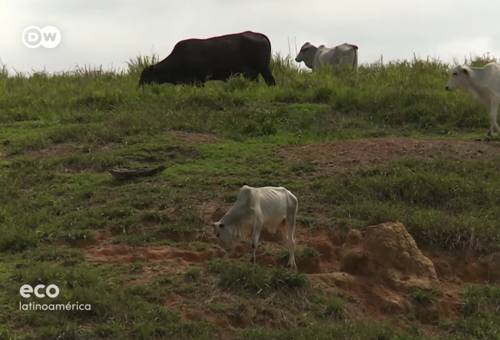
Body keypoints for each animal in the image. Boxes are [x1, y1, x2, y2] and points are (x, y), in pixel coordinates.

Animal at [139, 30, 276, 86]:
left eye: (145, 76)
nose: (139, 86)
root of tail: (258, 34)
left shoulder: (198, 80)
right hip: (254, 73)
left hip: (262, 69)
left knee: (271, 81)